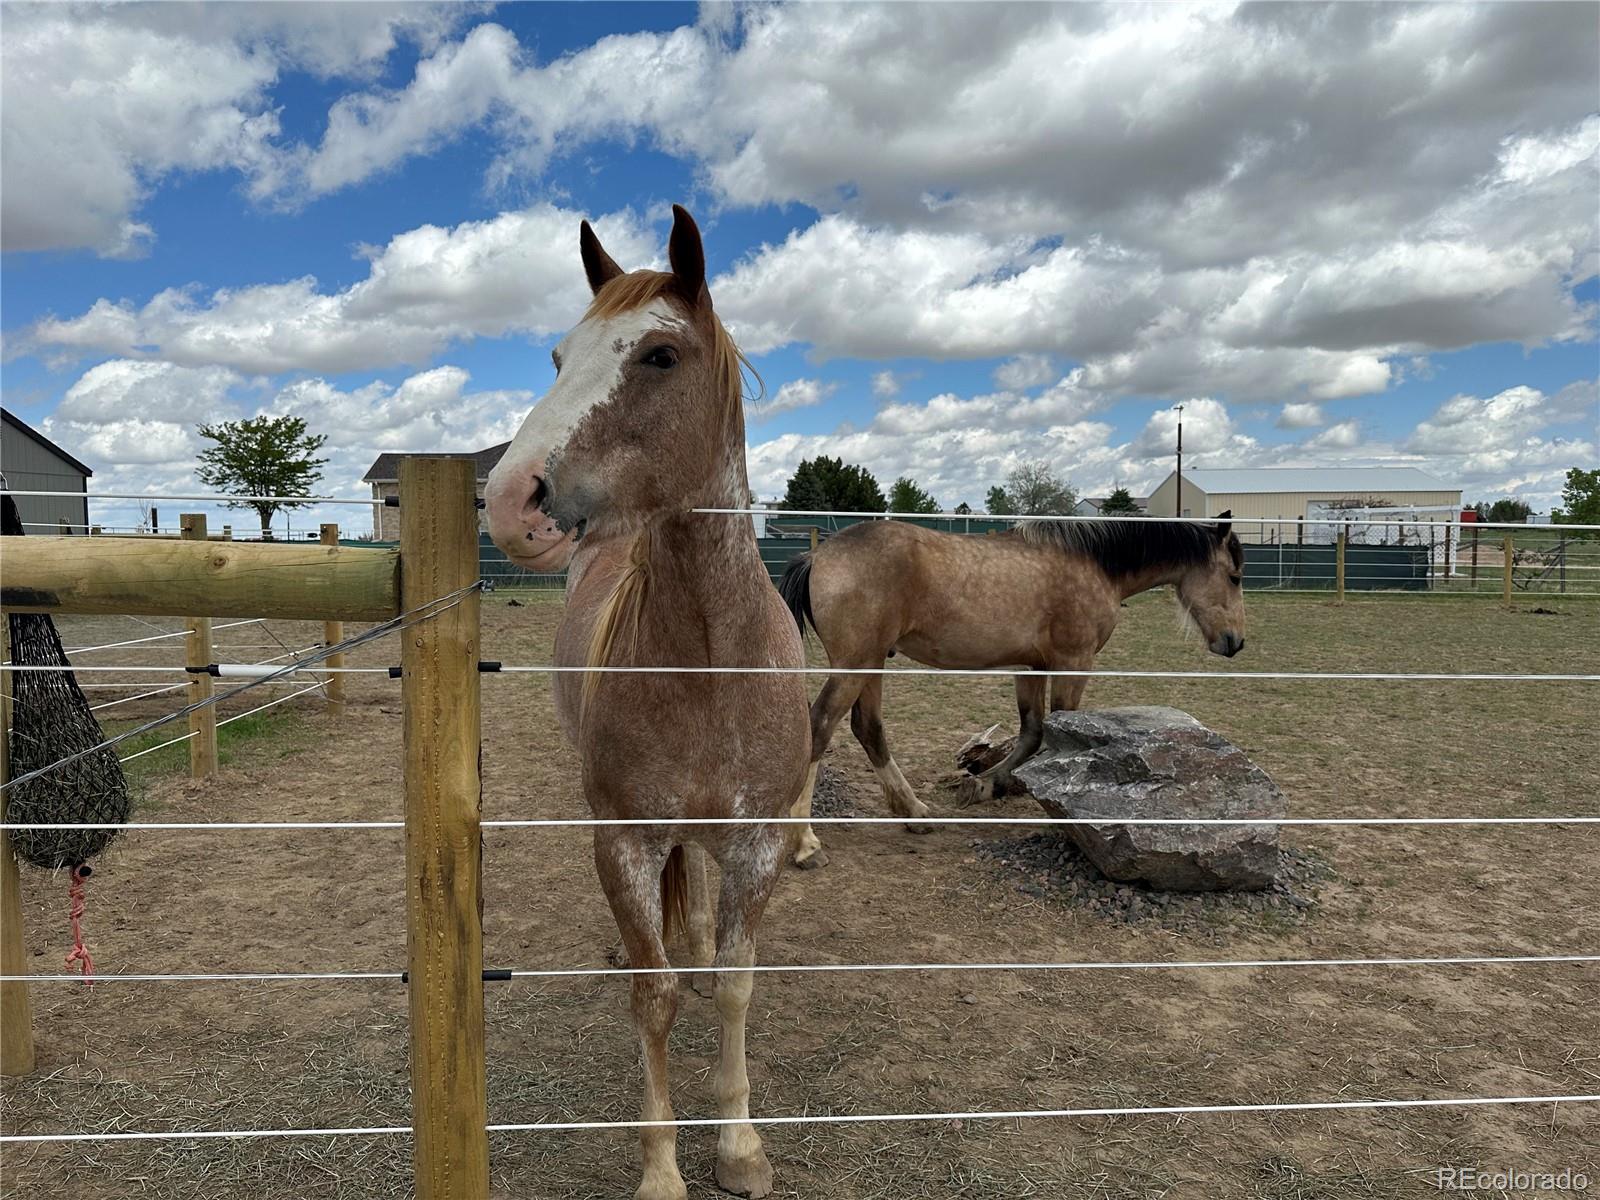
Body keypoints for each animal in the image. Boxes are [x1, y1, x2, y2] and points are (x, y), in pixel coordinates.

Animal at [780, 512, 1241, 870]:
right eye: (1234, 576)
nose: (1235, 641)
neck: (1091, 565)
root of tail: (817, 555)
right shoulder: (1074, 662)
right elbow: (1058, 732)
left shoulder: (1030, 666)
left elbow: (1034, 732)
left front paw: (986, 785)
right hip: (856, 663)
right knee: (820, 726)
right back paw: (806, 845)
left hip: (873, 663)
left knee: (868, 728)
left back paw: (914, 812)